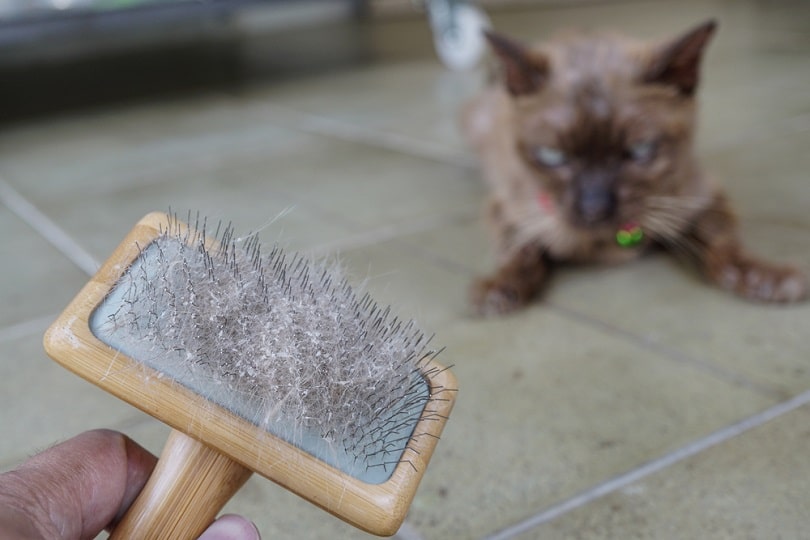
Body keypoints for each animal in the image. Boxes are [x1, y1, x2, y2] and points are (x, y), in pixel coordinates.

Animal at [464, 19, 804, 316]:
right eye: (552, 156)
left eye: (640, 150)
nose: (594, 209)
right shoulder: (508, 210)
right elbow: (519, 252)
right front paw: (499, 288)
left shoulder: (703, 199)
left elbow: (725, 247)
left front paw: (766, 279)